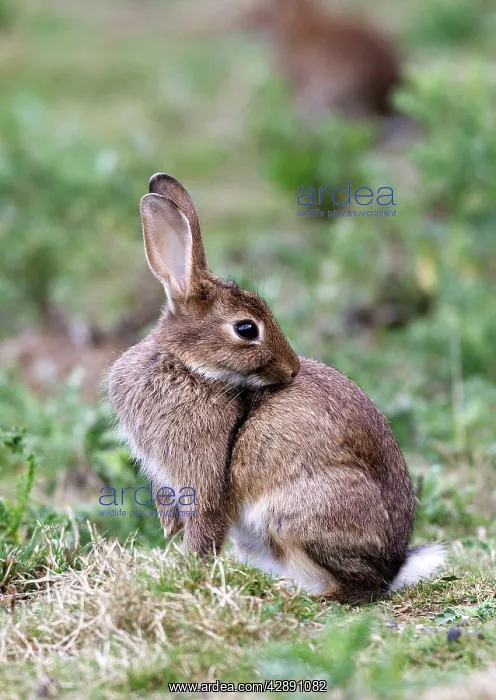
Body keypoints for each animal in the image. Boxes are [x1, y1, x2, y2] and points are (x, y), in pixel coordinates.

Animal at [108, 173, 445, 603]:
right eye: (246, 328)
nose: (292, 368)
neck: (189, 367)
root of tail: (393, 569)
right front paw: (170, 531)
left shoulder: (205, 478)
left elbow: (205, 529)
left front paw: (192, 571)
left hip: (294, 515)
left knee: (353, 587)